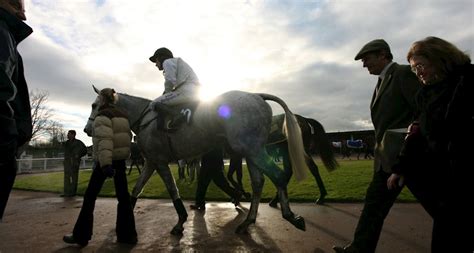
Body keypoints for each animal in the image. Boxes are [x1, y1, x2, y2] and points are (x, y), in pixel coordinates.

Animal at [83, 86, 310, 235]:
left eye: (95, 105)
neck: (146, 119)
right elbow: (136, 189)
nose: (86, 130)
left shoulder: (160, 162)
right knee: (258, 182)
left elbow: (172, 189)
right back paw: (248, 220)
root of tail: (256, 95)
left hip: (251, 149)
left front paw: (180, 221)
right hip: (252, 151)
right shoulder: (151, 162)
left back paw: (290, 215)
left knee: (277, 175)